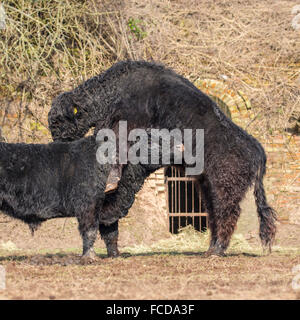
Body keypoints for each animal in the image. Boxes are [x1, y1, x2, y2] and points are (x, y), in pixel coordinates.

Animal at [0, 136, 166, 262]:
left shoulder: (107, 209)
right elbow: (90, 231)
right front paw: (90, 257)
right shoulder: (89, 205)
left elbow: (112, 234)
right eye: (151, 141)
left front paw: (115, 255)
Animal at [48, 59, 276, 255]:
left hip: (224, 188)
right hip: (208, 186)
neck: (117, 90)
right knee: (214, 215)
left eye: (58, 121)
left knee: (226, 215)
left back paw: (217, 250)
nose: (56, 142)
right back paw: (210, 249)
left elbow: (117, 152)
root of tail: (256, 148)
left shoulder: (126, 126)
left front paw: (111, 181)